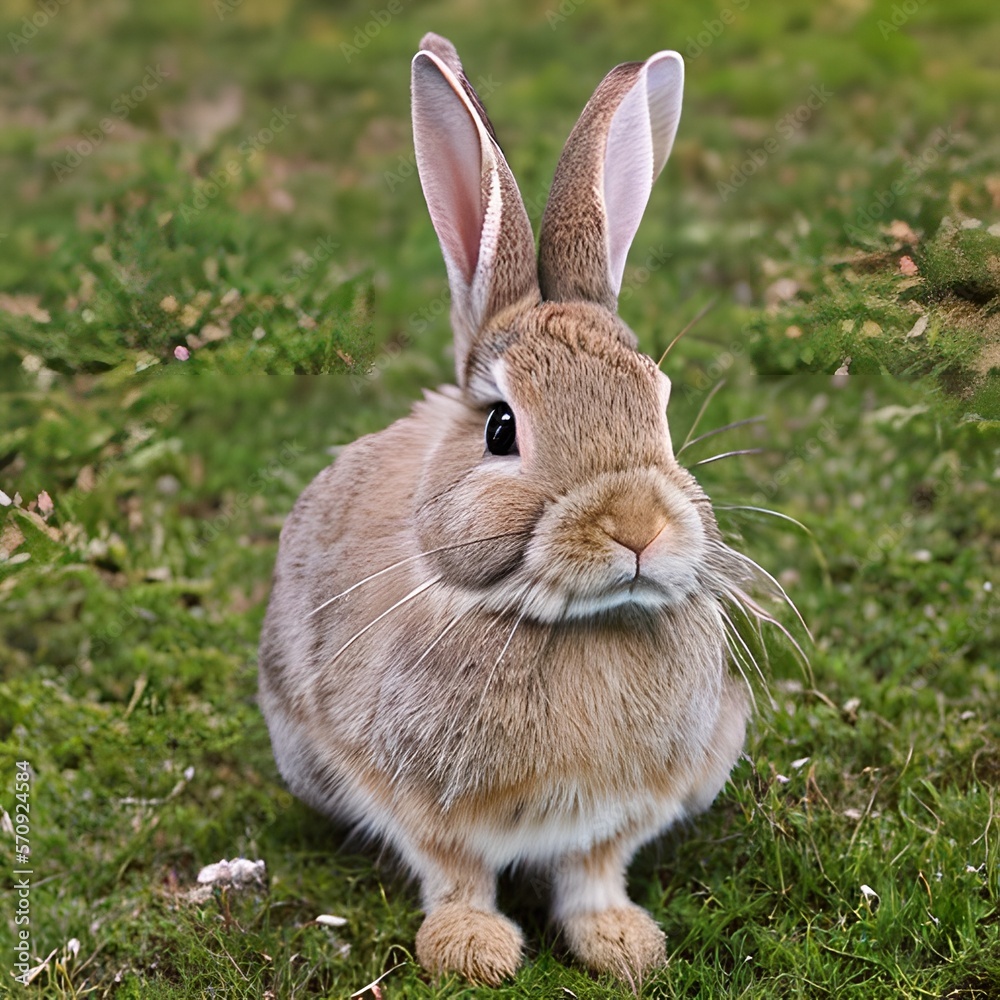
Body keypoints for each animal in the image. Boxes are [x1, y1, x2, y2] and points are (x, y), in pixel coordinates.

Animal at [259, 31, 778, 985]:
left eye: (660, 405)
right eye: (502, 427)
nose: (636, 525)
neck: (573, 625)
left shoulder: (620, 814)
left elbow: (594, 872)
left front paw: (625, 946)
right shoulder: (418, 802)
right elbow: (454, 871)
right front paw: (472, 952)